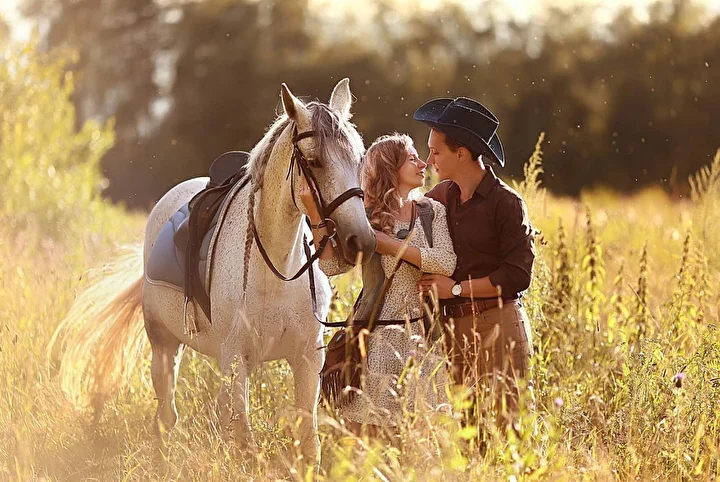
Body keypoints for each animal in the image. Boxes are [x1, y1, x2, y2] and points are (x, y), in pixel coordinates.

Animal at [51, 79, 375, 460]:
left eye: (359, 159)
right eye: (314, 161)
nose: (360, 241)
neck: (277, 271)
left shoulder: (308, 359)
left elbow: (307, 440)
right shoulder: (236, 359)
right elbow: (244, 442)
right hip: (164, 344)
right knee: (167, 415)